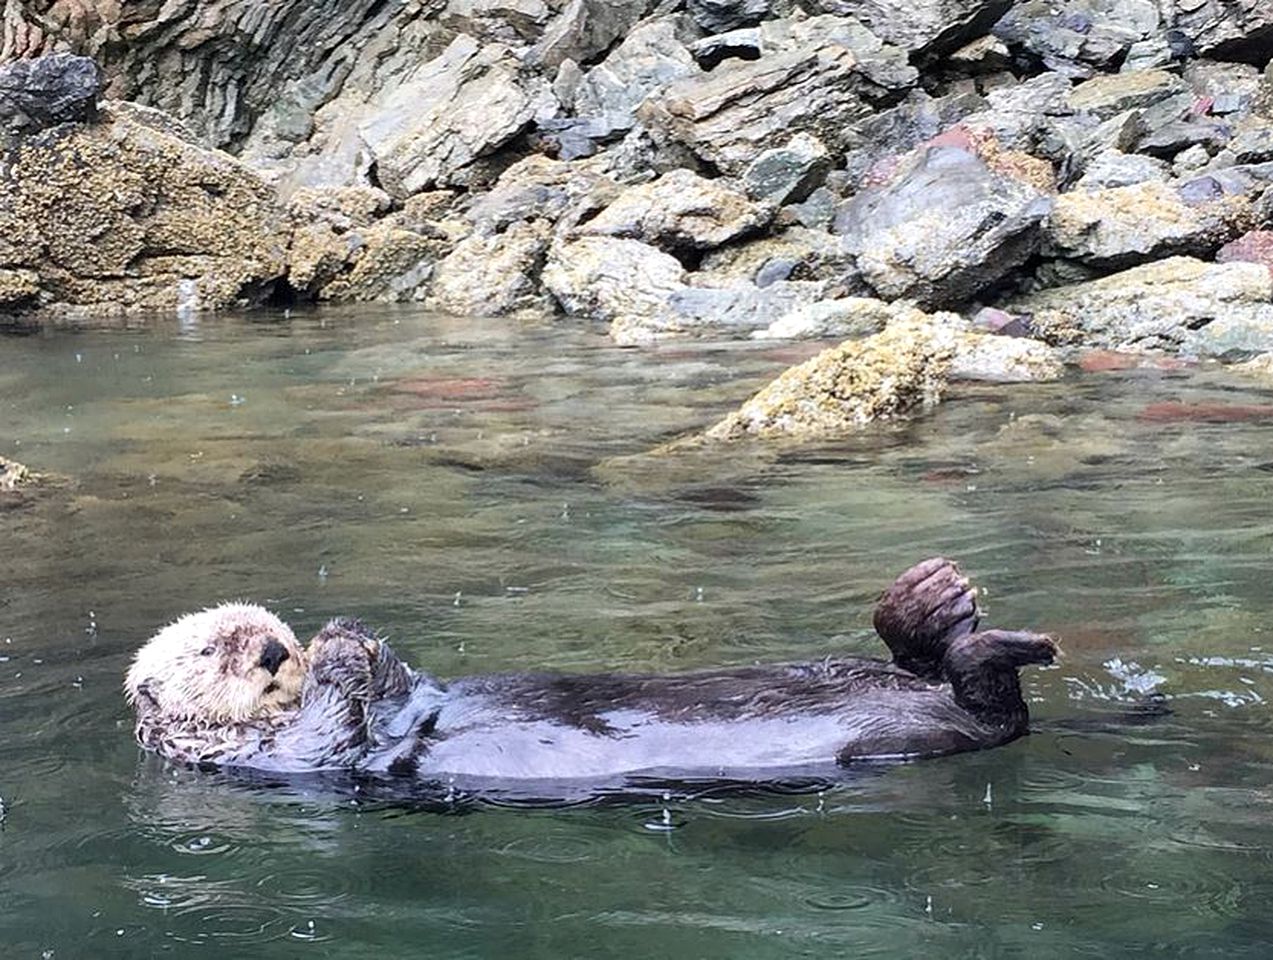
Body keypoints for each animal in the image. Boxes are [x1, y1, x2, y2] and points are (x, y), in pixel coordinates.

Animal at [126, 557, 1054, 794]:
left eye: (269, 629)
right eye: (211, 649)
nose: (278, 652)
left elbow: (399, 690)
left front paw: (348, 640)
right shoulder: (273, 761)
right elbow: (332, 733)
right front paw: (343, 653)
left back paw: (930, 602)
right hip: (913, 733)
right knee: (993, 713)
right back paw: (1001, 646)